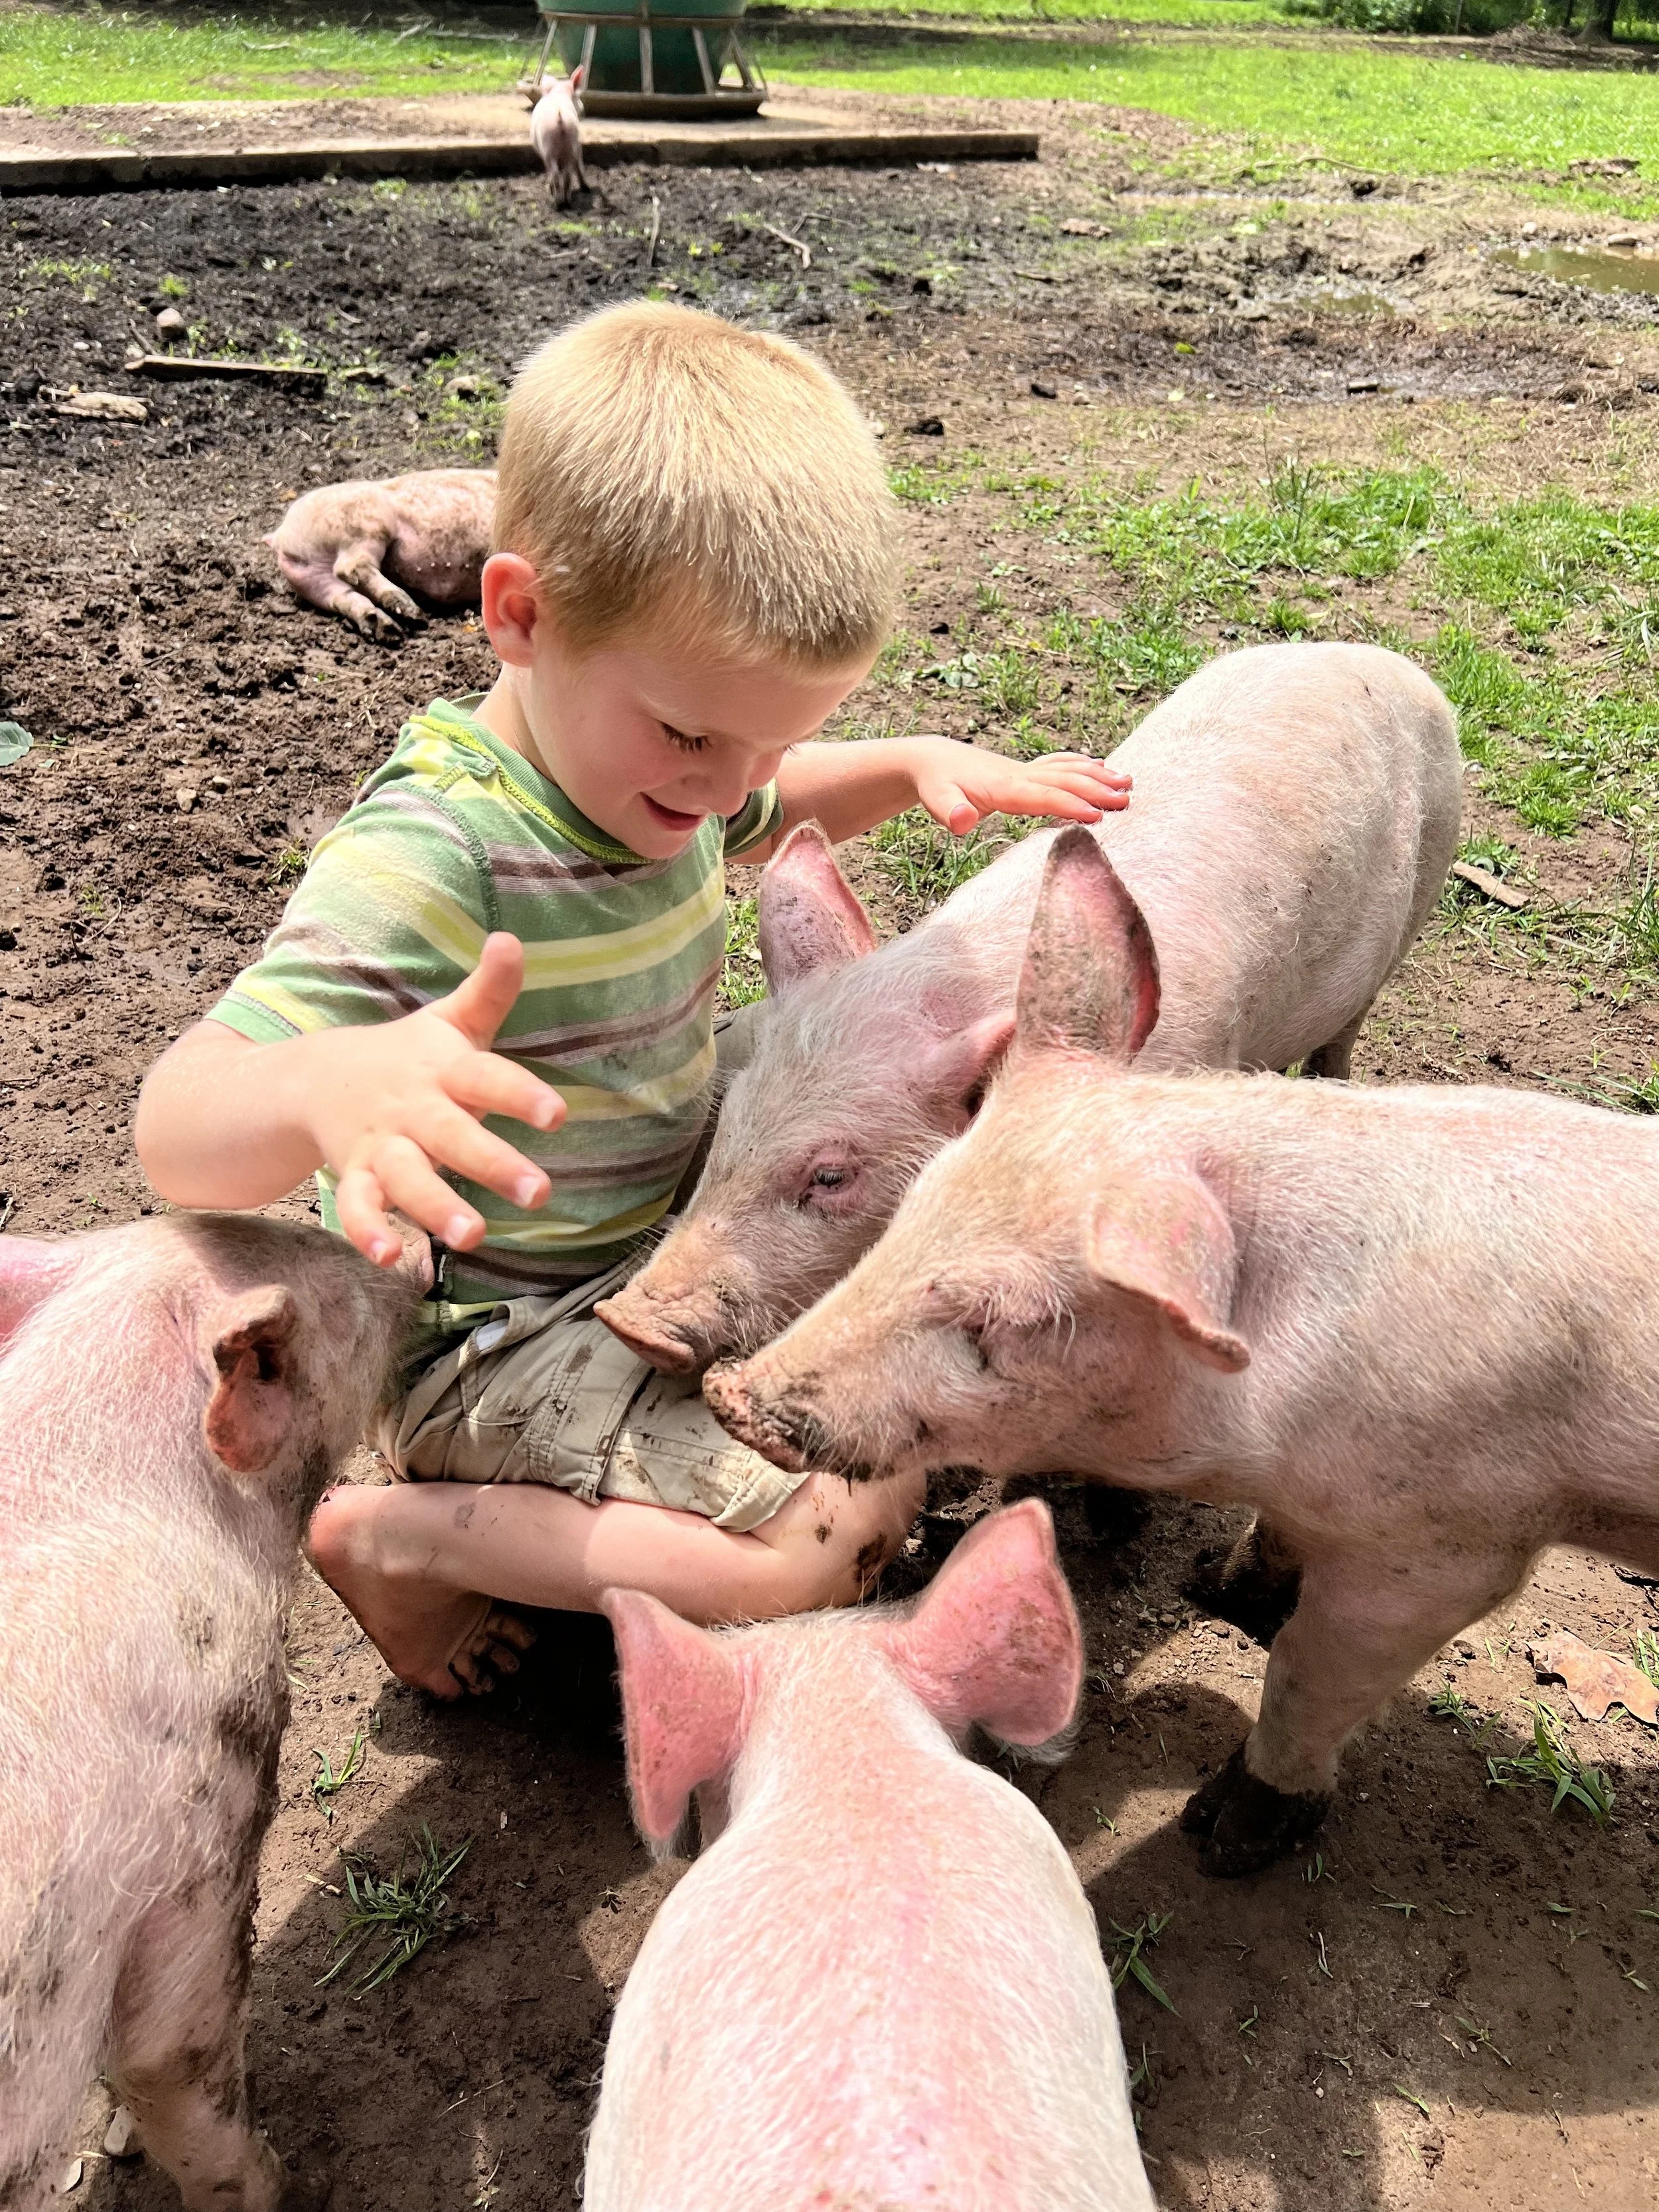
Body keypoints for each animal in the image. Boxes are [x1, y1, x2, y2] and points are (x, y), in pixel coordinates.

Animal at [264, 467, 496, 642]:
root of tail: (281, 534)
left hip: (312, 581)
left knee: (343, 596)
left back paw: (386, 628)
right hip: (365, 527)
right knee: (349, 568)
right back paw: (411, 612)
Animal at [530, 67, 587, 207]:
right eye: (578, 97)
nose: (583, 109)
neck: (559, 92)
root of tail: (559, 115)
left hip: (549, 148)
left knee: (556, 174)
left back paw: (558, 202)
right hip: (571, 144)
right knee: (567, 174)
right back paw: (567, 202)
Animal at [706, 830, 1659, 1877]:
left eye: (1006, 1318)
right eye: (914, 1208)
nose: (731, 1393)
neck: (1285, 1418)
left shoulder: (1455, 1543)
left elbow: (1307, 1672)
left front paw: (1224, 1841)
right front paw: (1217, 1590)